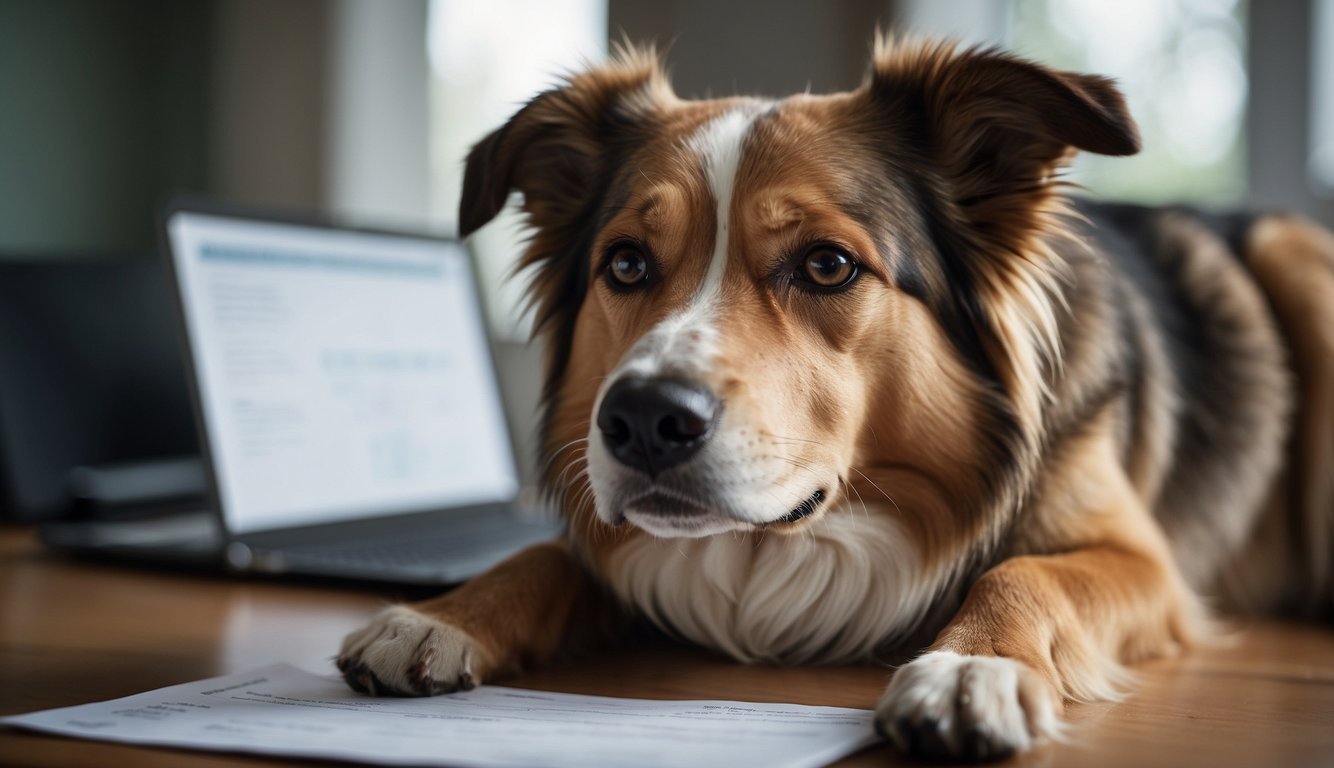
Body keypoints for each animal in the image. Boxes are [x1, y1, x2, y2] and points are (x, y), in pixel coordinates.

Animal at [336, 39, 1334, 757]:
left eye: (826, 265)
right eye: (625, 264)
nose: (640, 421)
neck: (796, 542)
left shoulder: (1144, 563)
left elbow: (1024, 571)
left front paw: (970, 666)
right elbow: (551, 554)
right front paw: (439, 615)